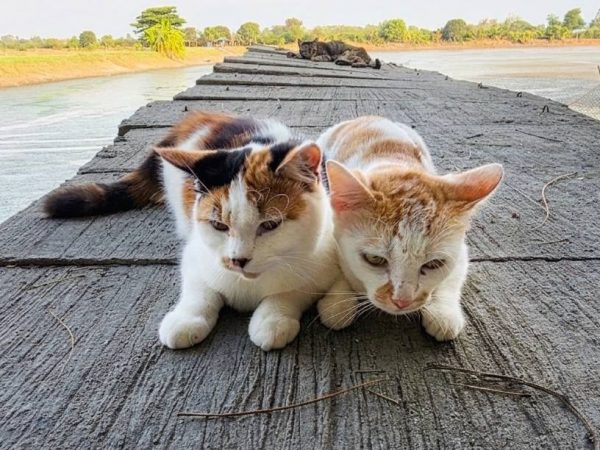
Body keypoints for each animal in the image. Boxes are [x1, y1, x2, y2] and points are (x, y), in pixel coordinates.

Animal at [44, 112, 338, 351]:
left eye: (270, 225)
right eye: (219, 225)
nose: (238, 260)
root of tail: (205, 116)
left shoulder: (323, 262)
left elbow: (293, 290)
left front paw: (272, 319)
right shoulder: (196, 255)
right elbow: (199, 289)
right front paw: (185, 320)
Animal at [315, 116, 503, 341]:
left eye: (434, 264)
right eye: (375, 259)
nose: (402, 301)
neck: (394, 164)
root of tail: (368, 117)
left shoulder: (462, 249)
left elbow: (454, 276)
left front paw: (444, 313)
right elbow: (338, 269)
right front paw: (337, 301)